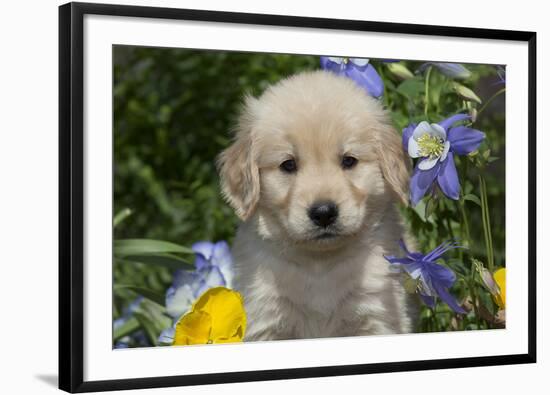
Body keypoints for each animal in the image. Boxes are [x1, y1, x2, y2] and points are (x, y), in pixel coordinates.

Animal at [218, 70, 416, 340]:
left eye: (349, 161)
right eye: (288, 164)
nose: (324, 213)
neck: (319, 264)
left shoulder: (377, 313)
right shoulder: (265, 317)